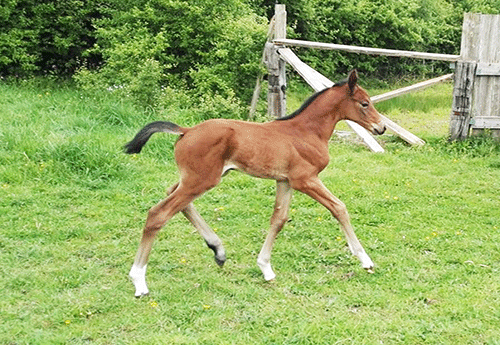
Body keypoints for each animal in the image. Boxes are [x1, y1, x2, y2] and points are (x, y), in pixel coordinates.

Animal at [126, 69, 386, 296]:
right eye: (364, 103)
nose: (381, 127)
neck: (306, 132)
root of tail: (186, 131)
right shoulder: (305, 179)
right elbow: (339, 207)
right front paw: (365, 259)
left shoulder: (285, 181)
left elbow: (279, 219)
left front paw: (266, 268)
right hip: (201, 180)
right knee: (158, 213)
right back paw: (139, 281)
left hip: (195, 179)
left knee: (174, 197)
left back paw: (218, 251)